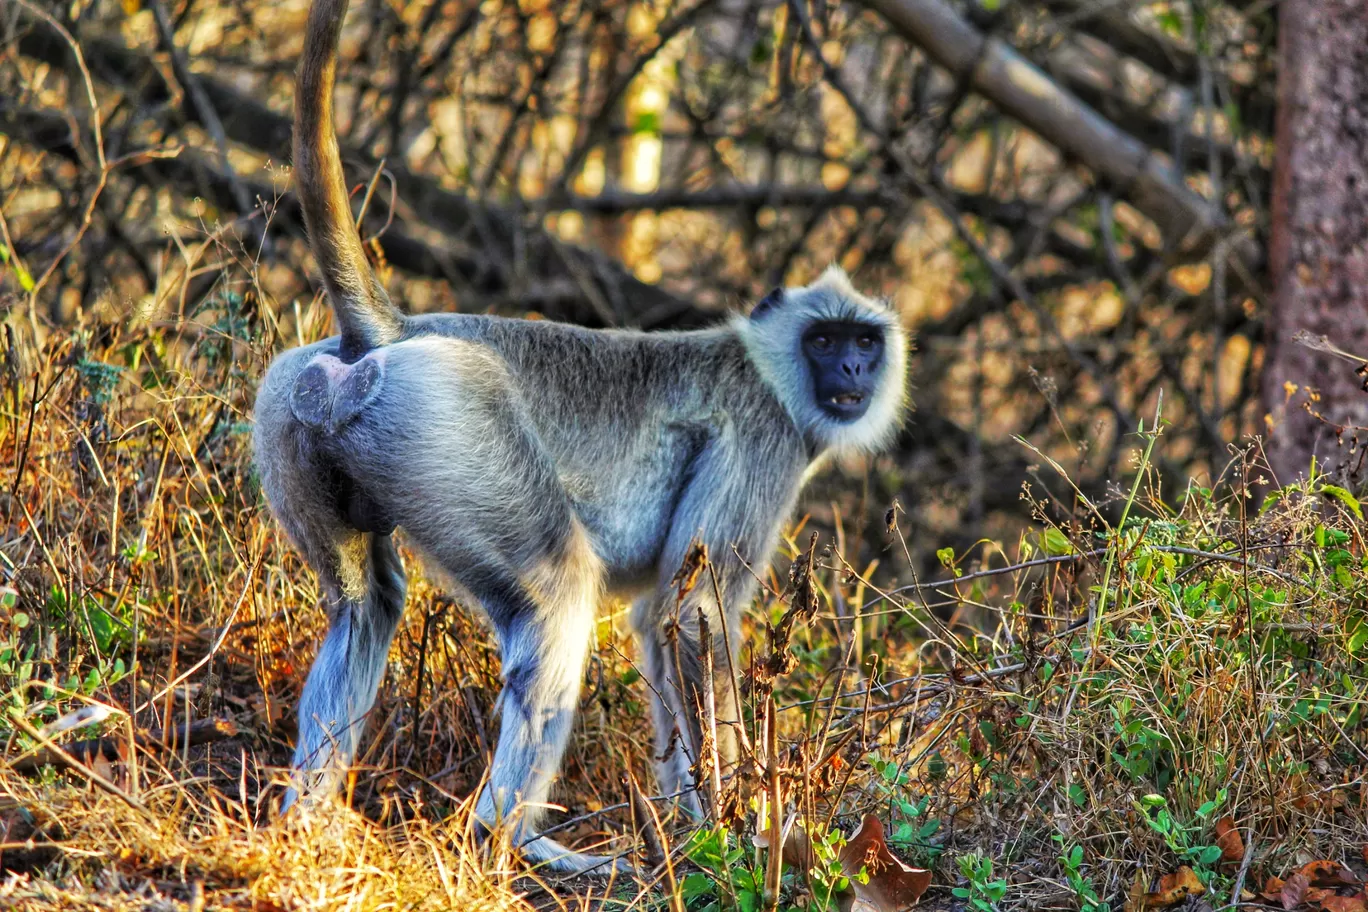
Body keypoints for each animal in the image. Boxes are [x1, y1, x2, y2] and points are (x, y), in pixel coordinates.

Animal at [253, 0, 913, 875]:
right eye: (826, 340)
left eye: (865, 341)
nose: (850, 369)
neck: (761, 364)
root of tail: (391, 335)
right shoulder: (764, 434)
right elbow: (693, 613)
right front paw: (739, 834)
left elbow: (661, 624)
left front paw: (694, 829)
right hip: (455, 426)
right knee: (559, 591)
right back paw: (511, 841)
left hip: (295, 408)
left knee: (364, 607)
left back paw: (307, 825)